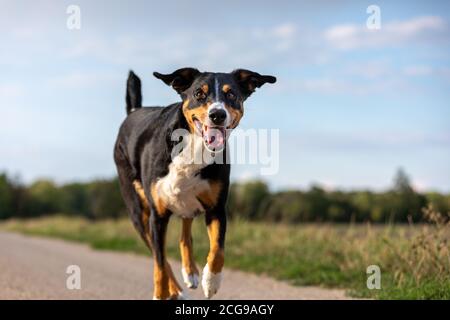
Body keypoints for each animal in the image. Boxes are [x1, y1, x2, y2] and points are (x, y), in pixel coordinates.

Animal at [114, 68, 276, 300]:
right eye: (199, 93)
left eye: (231, 94)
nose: (218, 114)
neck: (194, 146)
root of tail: (134, 112)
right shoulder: (157, 215)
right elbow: (159, 263)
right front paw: (160, 294)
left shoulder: (217, 208)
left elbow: (217, 249)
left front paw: (211, 281)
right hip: (139, 214)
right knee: (158, 253)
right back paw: (177, 290)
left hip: (185, 202)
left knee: (185, 233)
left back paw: (190, 274)